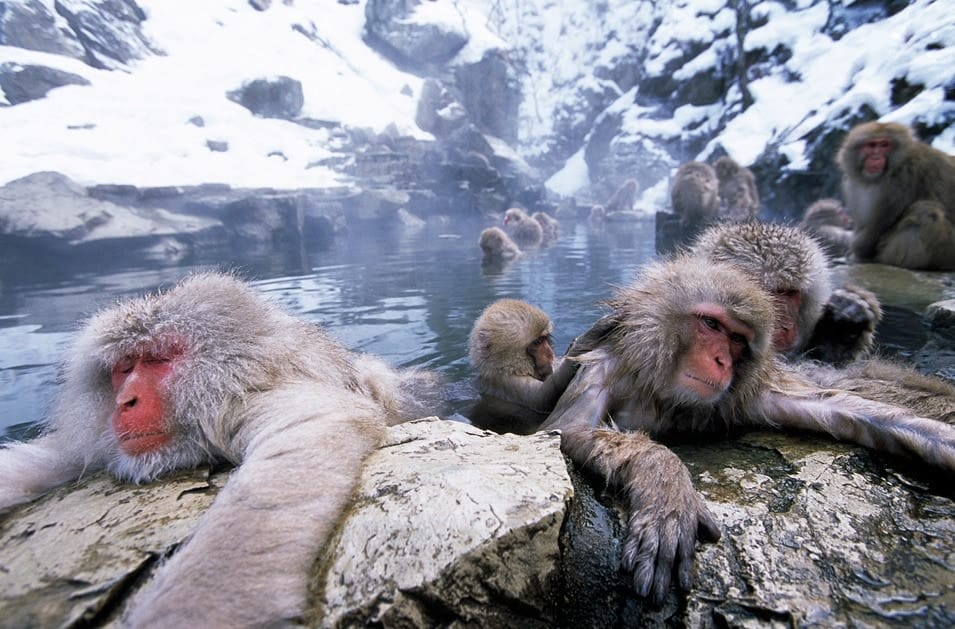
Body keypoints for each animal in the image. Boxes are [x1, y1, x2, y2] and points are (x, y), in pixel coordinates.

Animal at [468, 299, 579, 435]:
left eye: (545, 338)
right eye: (537, 343)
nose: (550, 354)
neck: (510, 368)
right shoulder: (507, 383)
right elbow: (542, 400)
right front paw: (577, 351)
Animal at [540, 255, 955, 605]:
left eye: (737, 339)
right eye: (711, 324)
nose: (722, 361)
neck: (667, 396)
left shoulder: (746, 395)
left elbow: (854, 412)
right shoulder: (604, 369)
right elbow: (566, 431)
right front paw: (665, 485)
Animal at [837, 120, 955, 270]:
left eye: (884, 145)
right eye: (871, 145)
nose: (875, 157)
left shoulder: (902, 180)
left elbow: (877, 228)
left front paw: (858, 254)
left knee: (926, 213)